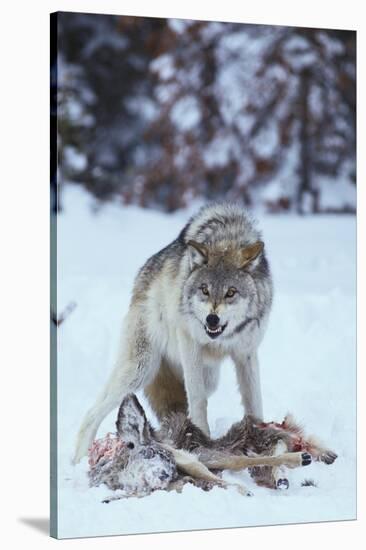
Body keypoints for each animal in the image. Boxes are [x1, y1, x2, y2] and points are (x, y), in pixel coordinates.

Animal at [74, 203, 274, 466]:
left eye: (231, 292)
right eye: (204, 290)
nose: (212, 319)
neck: (226, 238)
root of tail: (142, 274)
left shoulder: (246, 353)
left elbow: (254, 401)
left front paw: (262, 437)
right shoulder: (190, 344)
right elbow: (198, 399)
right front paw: (202, 441)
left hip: (207, 376)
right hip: (140, 369)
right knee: (92, 412)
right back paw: (79, 460)